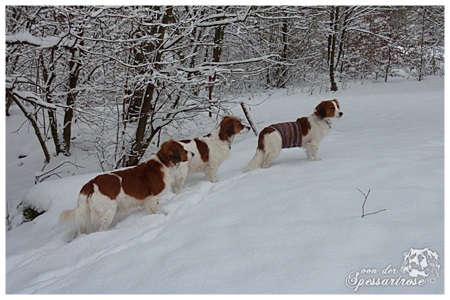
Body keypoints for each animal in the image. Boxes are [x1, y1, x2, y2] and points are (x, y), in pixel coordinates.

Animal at [59, 141, 190, 234]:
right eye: (182, 149)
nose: (193, 153)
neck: (162, 162)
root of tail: (91, 183)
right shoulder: (153, 197)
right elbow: (154, 211)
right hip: (109, 211)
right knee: (100, 230)